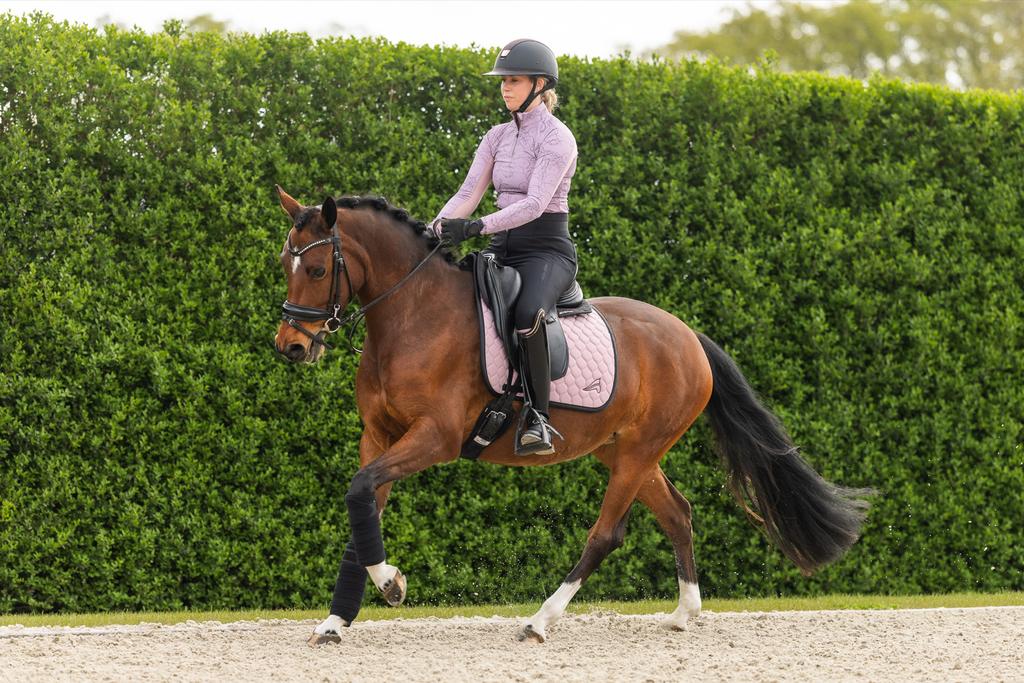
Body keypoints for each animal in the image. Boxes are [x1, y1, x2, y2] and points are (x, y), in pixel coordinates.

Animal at [272, 187, 872, 644]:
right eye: (285, 264)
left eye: (319, 267)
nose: (292, 348)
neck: (413, 315)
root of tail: (688, 336)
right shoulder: (379, 436)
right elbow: (362, 505)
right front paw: (337, 619)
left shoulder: (433, 437)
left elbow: (360, 493)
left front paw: (391, 583)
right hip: (626, 452)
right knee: (677, 514)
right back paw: (683, 614)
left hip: (636, 454)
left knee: (607, 534)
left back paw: (542, 620)